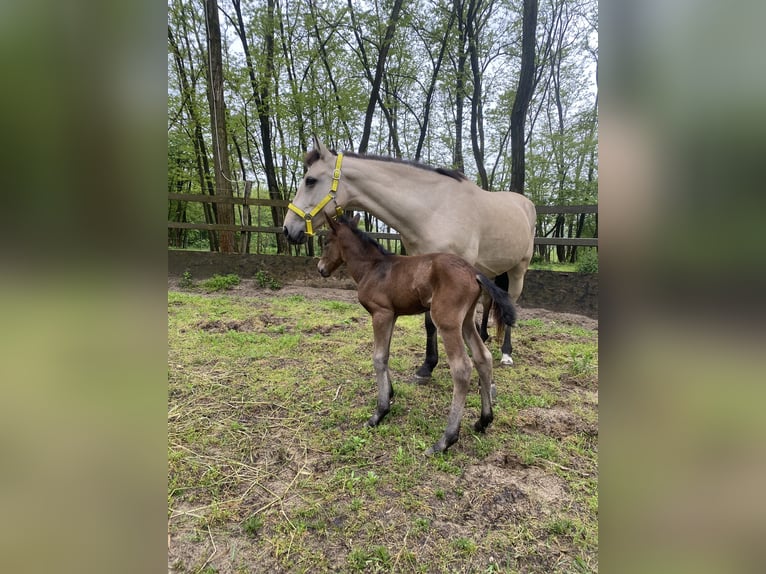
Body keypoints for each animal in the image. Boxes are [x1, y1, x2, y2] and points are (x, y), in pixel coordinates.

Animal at [284, 136, 536, 377]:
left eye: (310, 180)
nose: (288, 229)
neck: (433, 210)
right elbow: (429, 323)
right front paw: (428, 366)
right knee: (486, 301)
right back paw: (483, 336)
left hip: (518, 270)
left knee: (511, 303)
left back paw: (506, 353)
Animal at [317, 214, 517, 455]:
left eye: (326, 242)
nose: (320, 268)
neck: (373, 268)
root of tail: (474, 273)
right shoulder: (392, 315)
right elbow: (385, 355)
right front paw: (390, 395)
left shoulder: (381, 313)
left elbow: (378, 357)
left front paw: (379, 413)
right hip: (467, 320)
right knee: (483, 358)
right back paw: (484, 421)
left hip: (447, 321)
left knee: (462, 368)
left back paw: (445, 440)